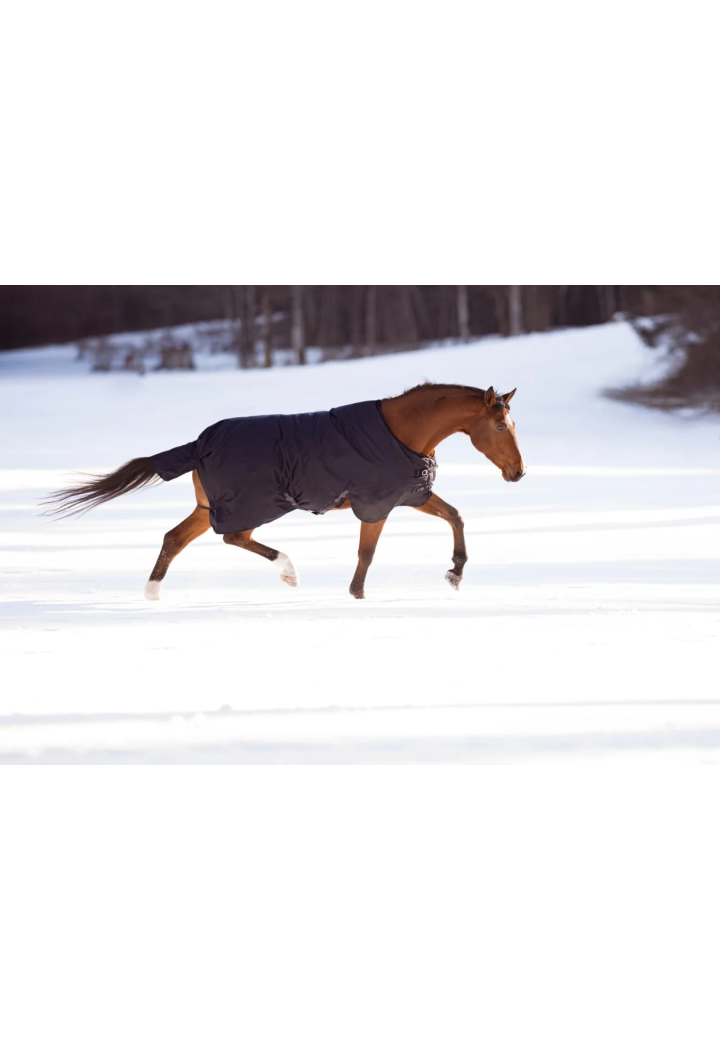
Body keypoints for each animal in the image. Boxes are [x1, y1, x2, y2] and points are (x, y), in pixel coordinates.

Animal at [44, 383, 525, 600]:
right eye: (501, 426)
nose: (518, 472)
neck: (401, 433)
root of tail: (200, 444)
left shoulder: (410, 494)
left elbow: (455, 516)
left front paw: (455, 573)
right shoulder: (375, 504)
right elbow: (366, 554)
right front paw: (357, 597)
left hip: (209, 506)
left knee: (175, 538)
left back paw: (152, 593)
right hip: (252, 504)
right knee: (234, 537)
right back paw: (288, 570)